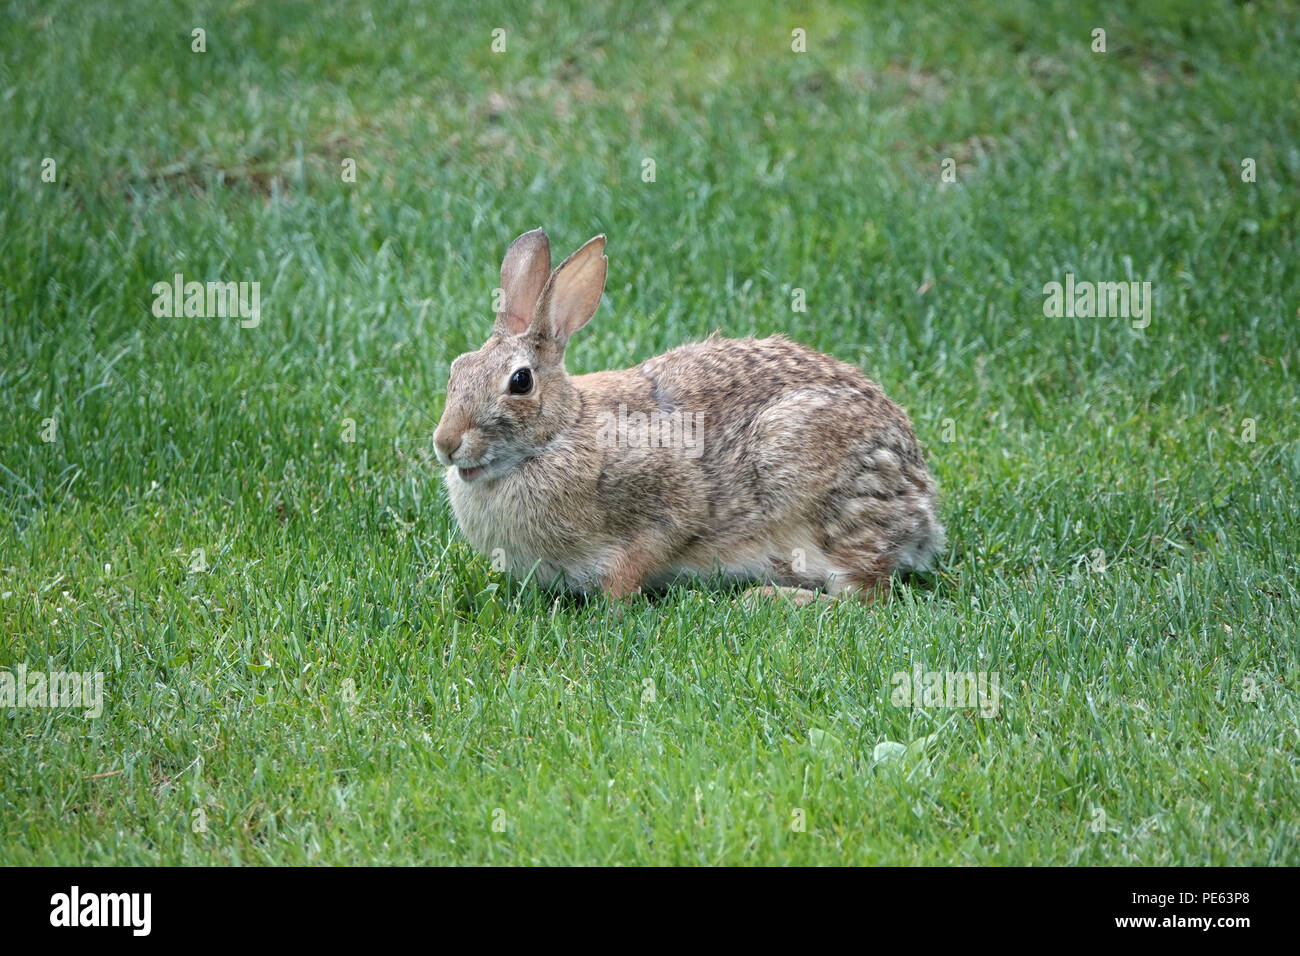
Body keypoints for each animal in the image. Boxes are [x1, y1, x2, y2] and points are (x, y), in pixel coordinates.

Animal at [433, 228, 944, 605]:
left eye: (520, 382)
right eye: (456, 368)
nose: (445, 443)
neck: (558, 434)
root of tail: (922, 505)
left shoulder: (671, 500)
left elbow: (643, 554)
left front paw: (614, 607)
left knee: (864, 594)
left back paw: (766, 600)